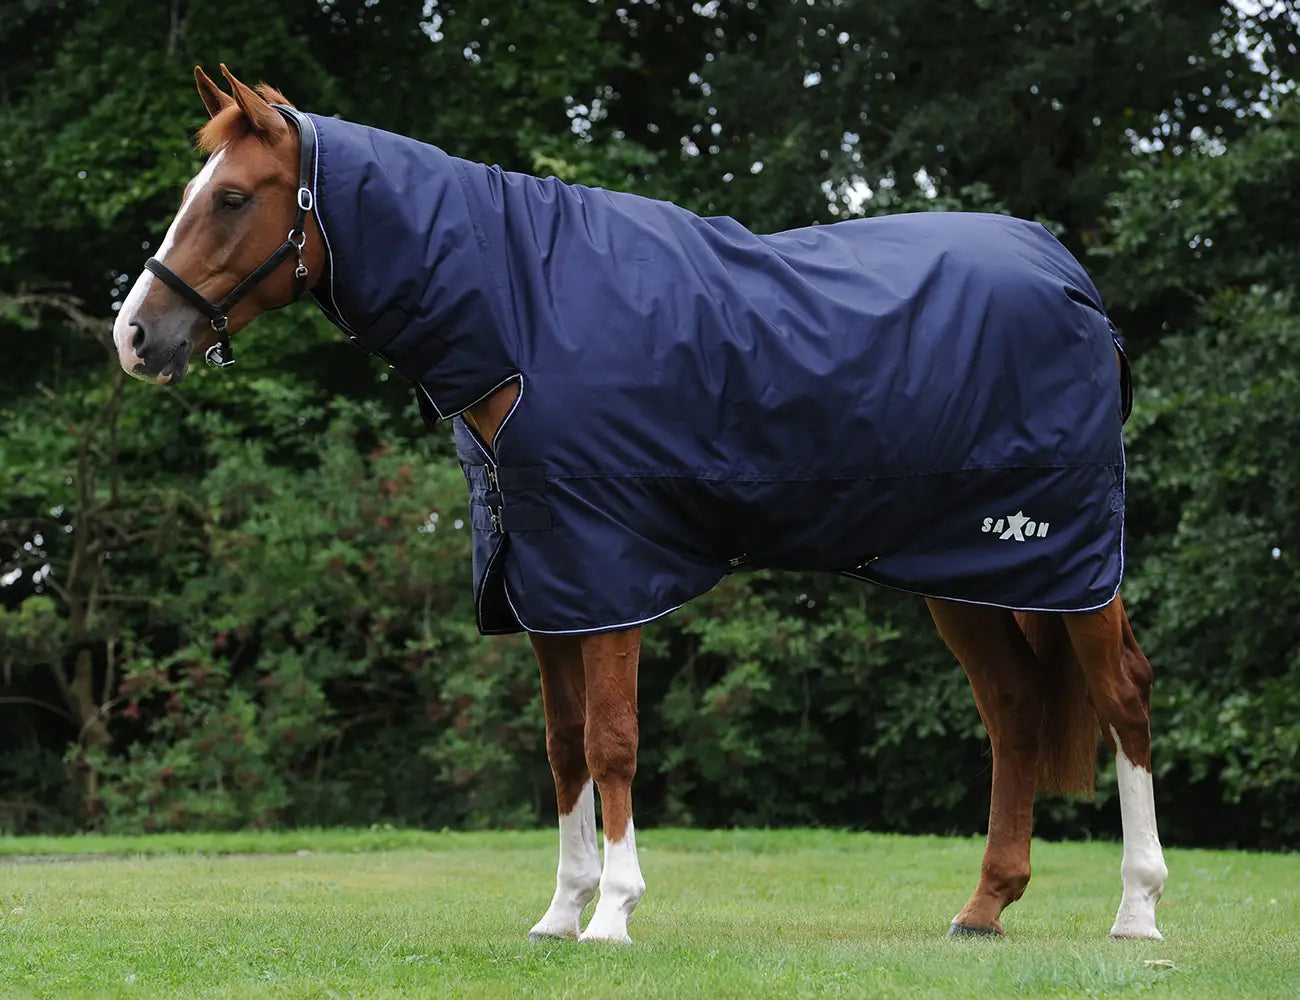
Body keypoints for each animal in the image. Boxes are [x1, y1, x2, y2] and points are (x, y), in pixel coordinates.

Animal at [111, 65, 1168, 944]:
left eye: (232, 197)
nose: (135, 336)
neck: (523, 314)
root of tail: (1071, 278)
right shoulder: (541, 583)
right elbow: (562, 748)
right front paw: (560, 911)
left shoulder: (607, 570)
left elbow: (611, 741)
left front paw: (614, 913)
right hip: (968, 572)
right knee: (1015, 713)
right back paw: (984, 908)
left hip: (1068, 562)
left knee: (1122, 695)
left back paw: (1137, 911)